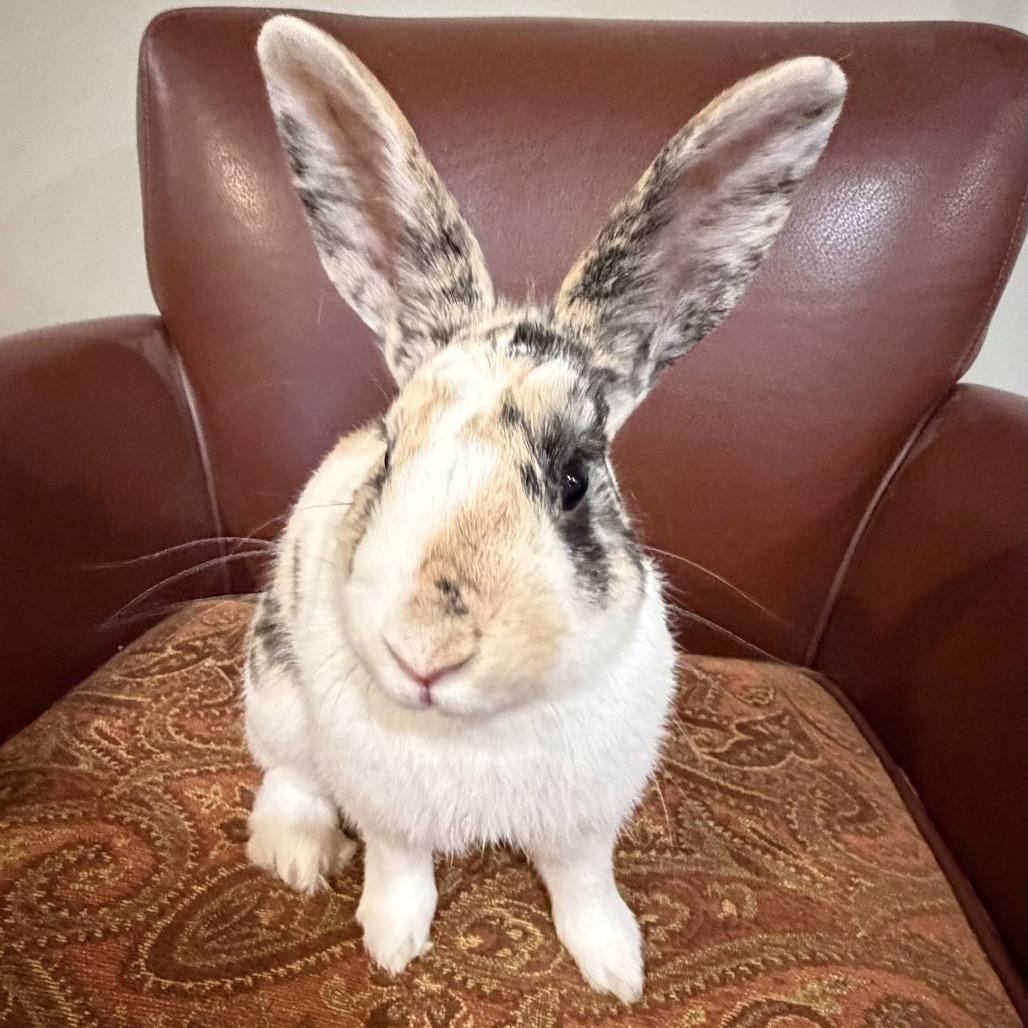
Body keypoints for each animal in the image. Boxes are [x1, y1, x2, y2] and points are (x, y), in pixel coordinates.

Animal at [244, 14, 846, 1003]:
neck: (480, 728)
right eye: (390, 450)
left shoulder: (587, 822)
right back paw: (296, 854)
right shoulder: (388, 810)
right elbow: (400, 868)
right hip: (275, 696)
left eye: (572, 478)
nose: (425, 652)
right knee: (287, 776)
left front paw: (617, 966)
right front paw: (391, 942)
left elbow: (583, 884)